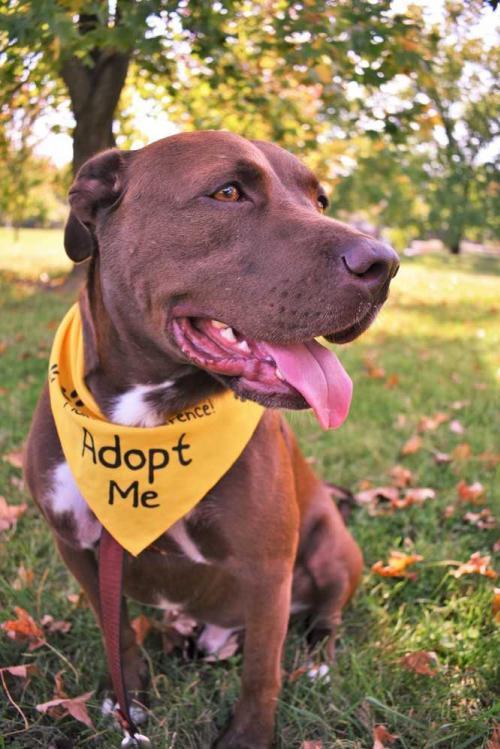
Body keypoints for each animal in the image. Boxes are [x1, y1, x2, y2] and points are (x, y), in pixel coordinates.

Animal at [24, 131, 398, 744]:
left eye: (319, 200)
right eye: (227, 191)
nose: (385, 264)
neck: (145, 425)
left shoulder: (267, 568)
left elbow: (262, 672)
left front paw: (247, 737)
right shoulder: (76, 545)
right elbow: (117, 632)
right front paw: (126, 701)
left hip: (334, 548)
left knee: (326, 614)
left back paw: (318, 657)